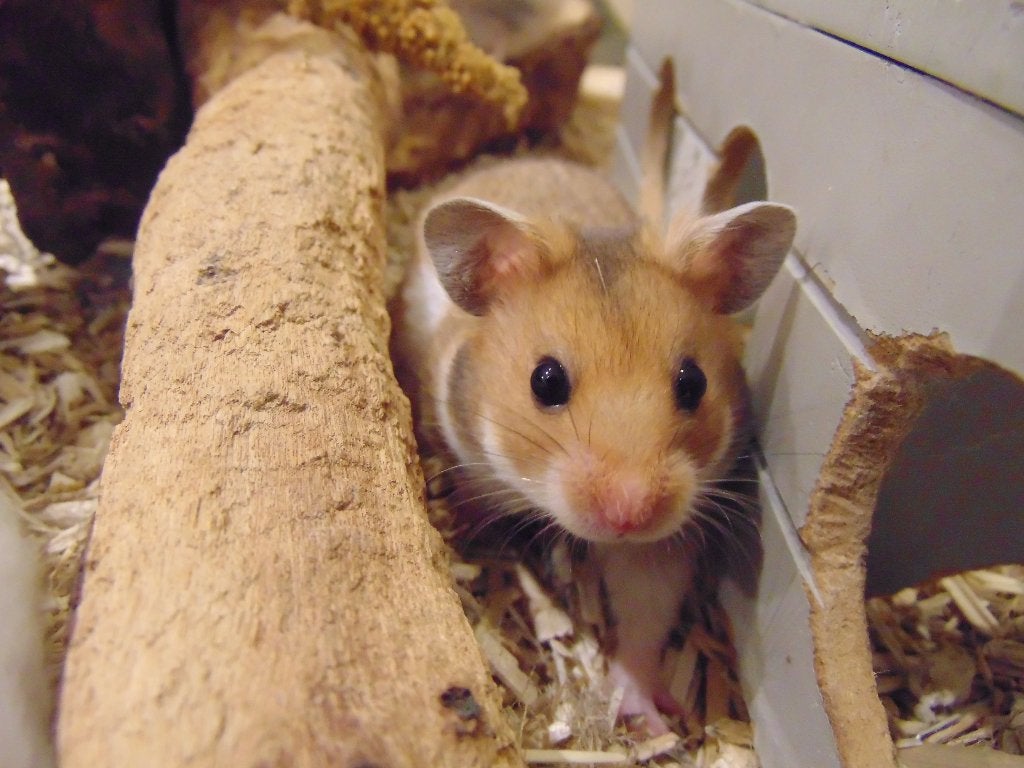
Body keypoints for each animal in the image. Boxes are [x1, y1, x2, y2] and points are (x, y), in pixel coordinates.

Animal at [390, 156, 795, 734]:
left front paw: (647, 717)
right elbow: (473, 496)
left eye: (693, 383)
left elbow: (645, 610)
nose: (630, 513)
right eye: (546, 381)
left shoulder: (658, 546)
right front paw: (456, 523)